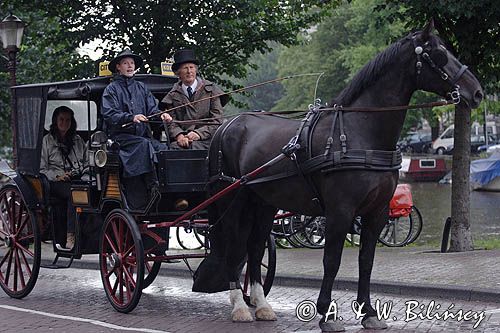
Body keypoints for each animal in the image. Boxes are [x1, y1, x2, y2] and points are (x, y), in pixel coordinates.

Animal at [201, 20, 482, 330]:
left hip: (263, 202)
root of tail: (227, 125)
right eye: (440, 55)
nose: (477, 92)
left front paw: (369, 312)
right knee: (233, 244)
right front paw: (327, 314)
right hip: (232, 200)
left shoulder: (376, 211)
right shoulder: (340, 211)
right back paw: (240, 307)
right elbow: (332, 260)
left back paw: (261, 306)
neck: (362, 131)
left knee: (254, 246)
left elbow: (366, 260)